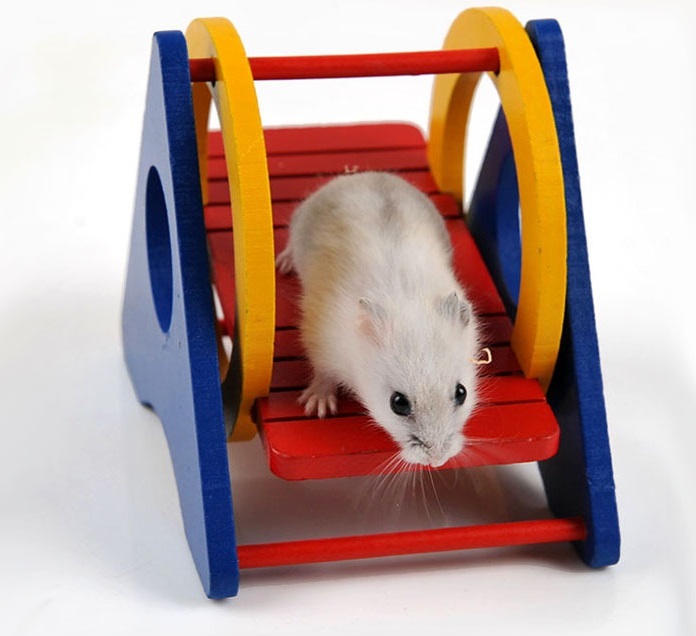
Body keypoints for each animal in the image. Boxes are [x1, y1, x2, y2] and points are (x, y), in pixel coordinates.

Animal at [276, 171, 481, 468]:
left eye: (462, 392)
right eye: (398, 403)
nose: (437, 460)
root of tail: (362, 175)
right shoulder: (321, 344)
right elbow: (323, 374)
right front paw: (317, 407)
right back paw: (284, 264)